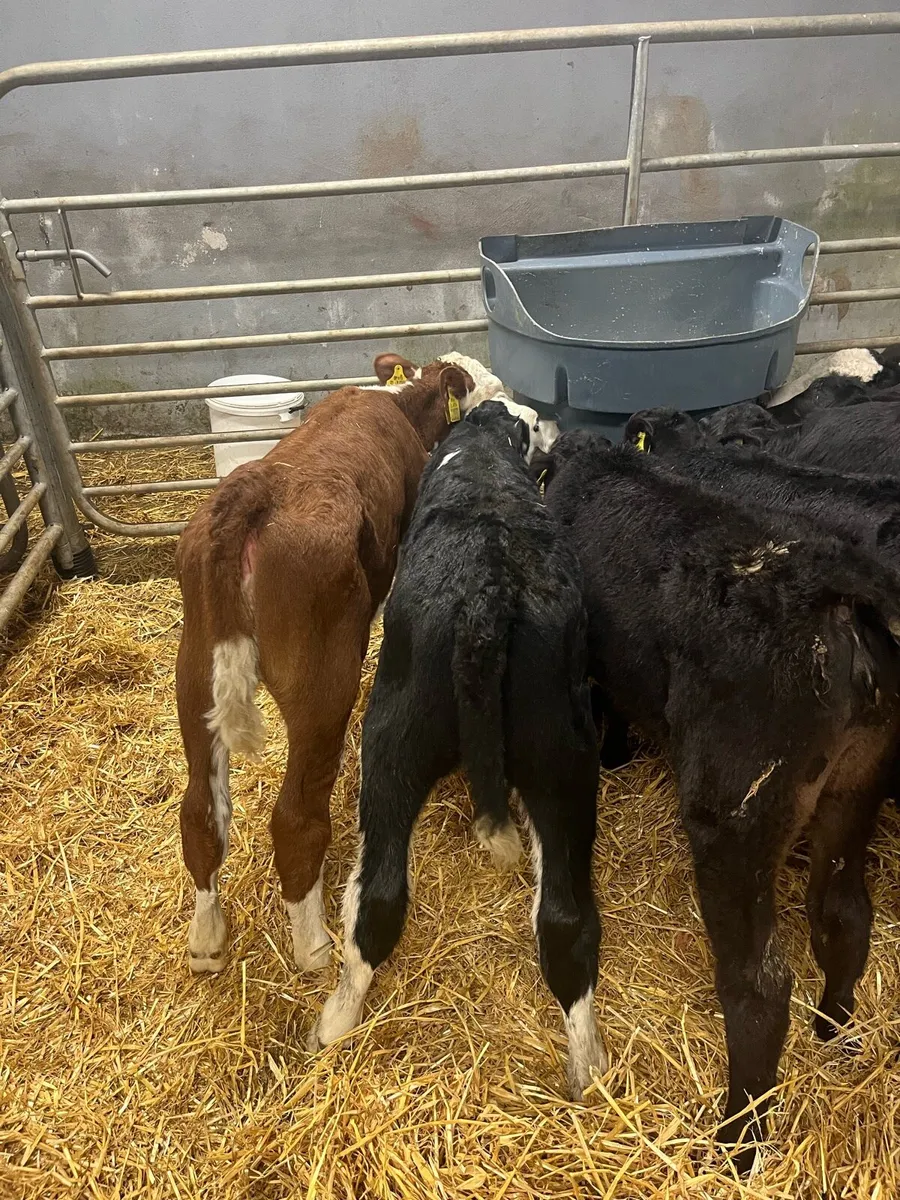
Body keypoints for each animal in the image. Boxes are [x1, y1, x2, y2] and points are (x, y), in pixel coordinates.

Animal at [175, 353, 476, 977]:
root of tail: (257, 492)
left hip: (195, 679)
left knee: (201, 813)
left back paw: (207, 941)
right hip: (322, 689)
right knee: (295, 820)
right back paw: (311, 946)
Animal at [309, 401, 606, 1100]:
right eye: (534, 427)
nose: (550, 427)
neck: (479, 445)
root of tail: (484, 598)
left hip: (395, 739)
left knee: (378, 895)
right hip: (554, 762)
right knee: (563, 921)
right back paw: (586, 1068)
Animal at [544, 440, 900, 1169]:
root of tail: (837, 592)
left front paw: (612, 758)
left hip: (734, 815)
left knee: (758, 984)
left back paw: (738, 1138)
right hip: (855, 785)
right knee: (844, 915)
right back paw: (835, 1029)